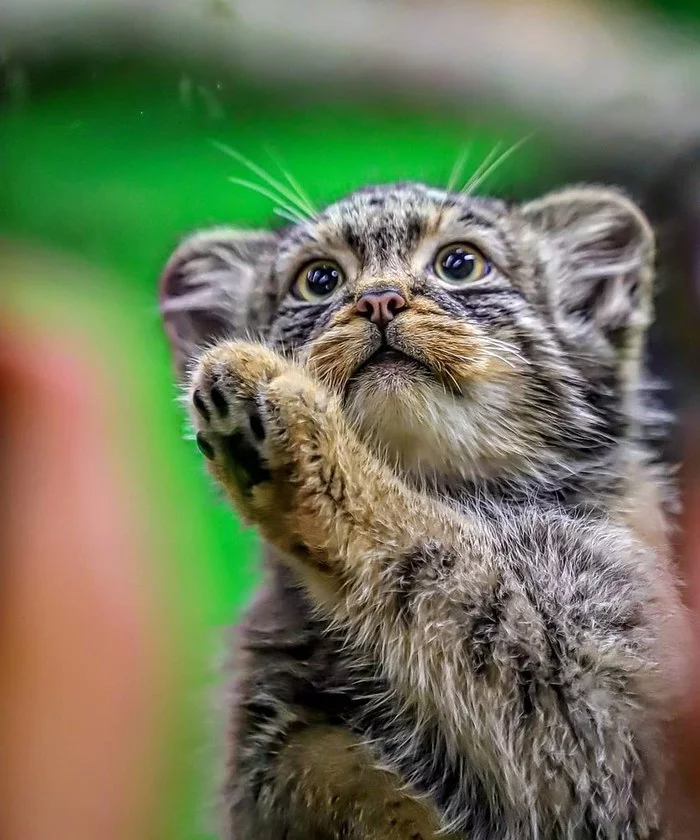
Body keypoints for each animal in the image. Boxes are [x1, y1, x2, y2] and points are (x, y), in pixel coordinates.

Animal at [157, 180, 688, 836]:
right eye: (319, 280)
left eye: (460, 264)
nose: (379, 300)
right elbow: (321, 764)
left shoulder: (610, 699)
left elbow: (435, 555)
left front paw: (284, 415)